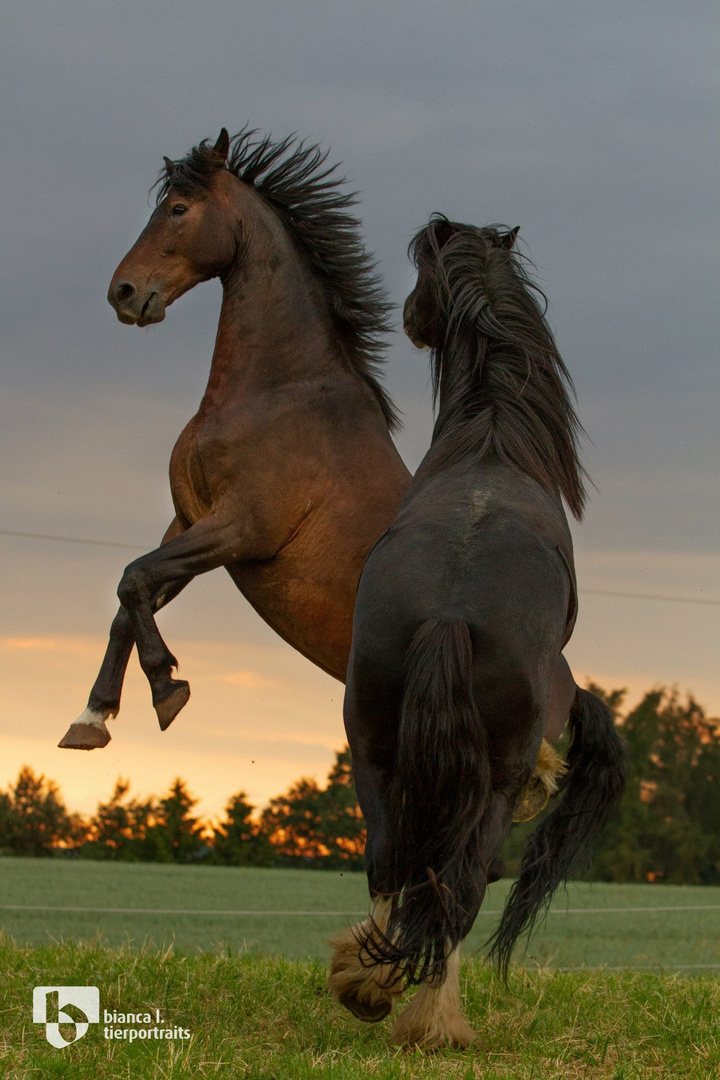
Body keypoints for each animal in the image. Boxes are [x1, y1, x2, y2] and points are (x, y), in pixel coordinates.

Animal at [330, 214, 626, 1049]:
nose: (406, 318)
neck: (492, 435)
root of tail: (449, 613)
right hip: (487, 775)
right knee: (458, 885)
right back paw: (435, 1020)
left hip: (371, 743)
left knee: (394, 861)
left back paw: (365, 984)